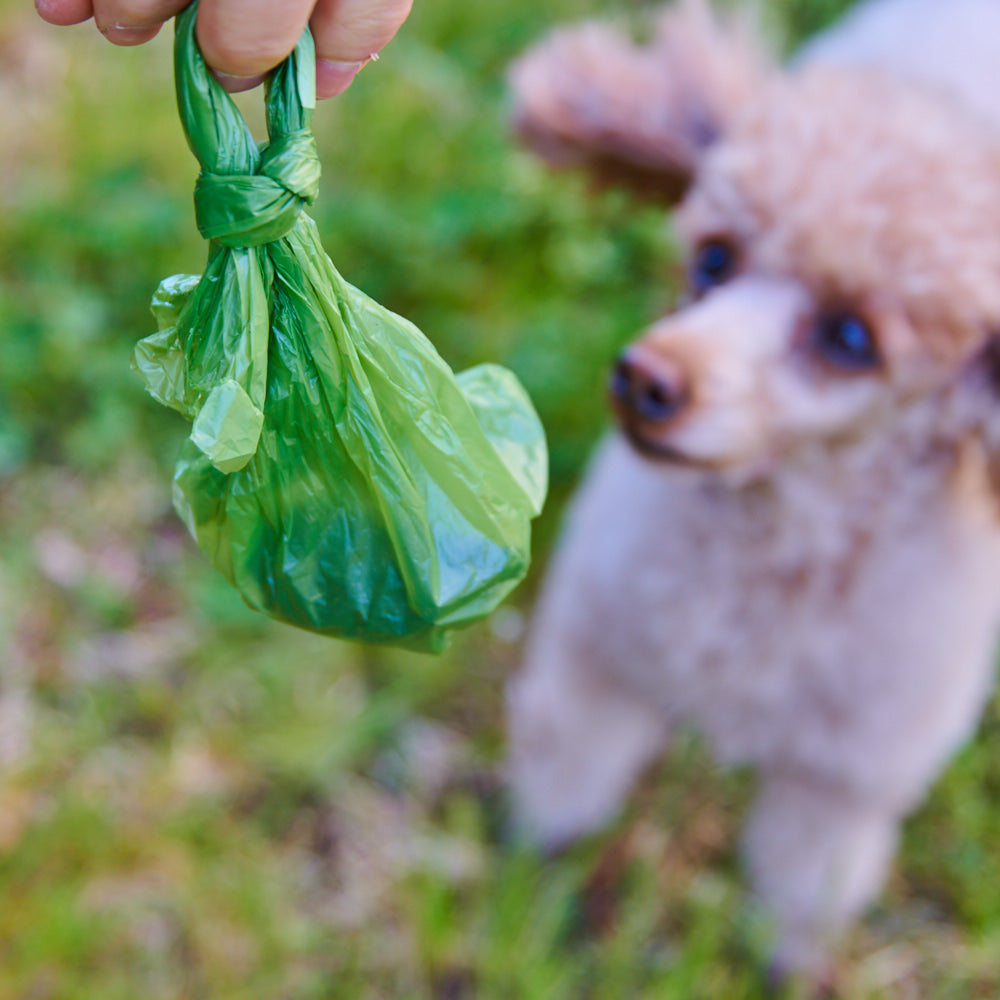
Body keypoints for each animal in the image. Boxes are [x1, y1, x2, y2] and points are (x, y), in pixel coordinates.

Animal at [508, 0, 1000, 976]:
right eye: (714, 258)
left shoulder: (845, 778)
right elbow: (567, 770)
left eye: (851, 337)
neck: (776, 542)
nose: (647, 379)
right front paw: (534, 862)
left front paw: (791, 966)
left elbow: (804, 890)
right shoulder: (599, 647)